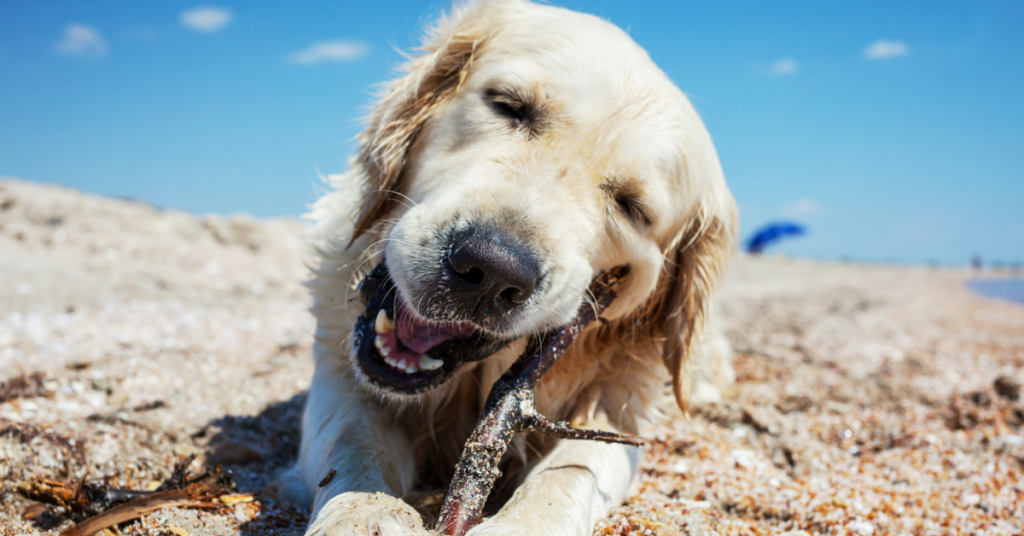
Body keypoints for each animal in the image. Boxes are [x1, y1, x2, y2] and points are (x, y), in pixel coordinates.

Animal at [272, 2, 737, 532]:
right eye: (509, 106)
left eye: (632, 207)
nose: (491, 270)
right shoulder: (341, 379)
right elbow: (353, 444)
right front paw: (363, 514)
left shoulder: (621, 411)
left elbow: (570, 472)